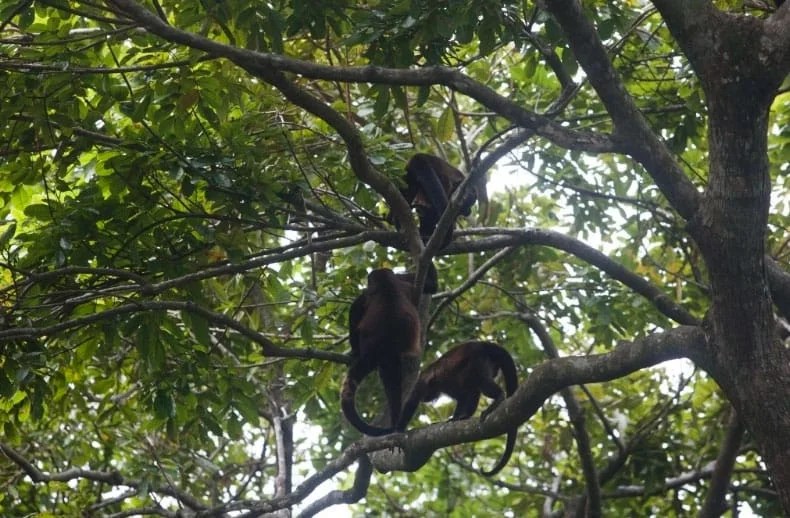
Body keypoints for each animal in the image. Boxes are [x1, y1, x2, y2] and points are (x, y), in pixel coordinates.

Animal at [341, 268, 423, 436]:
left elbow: (354, 313)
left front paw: (353, 351)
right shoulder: (406, 287)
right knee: (394, 385)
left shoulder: (366, 294)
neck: (387, 282)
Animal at [397, 341, 518, 476]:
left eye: (426, 394)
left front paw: (398, 429)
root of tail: (486, 344)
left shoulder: (428, 382)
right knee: (474, 385)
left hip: (479, 359)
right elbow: (464, 396)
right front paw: (456, 418)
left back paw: (499, 397)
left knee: (480, 380)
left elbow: (411, 403)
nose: (425, 398)